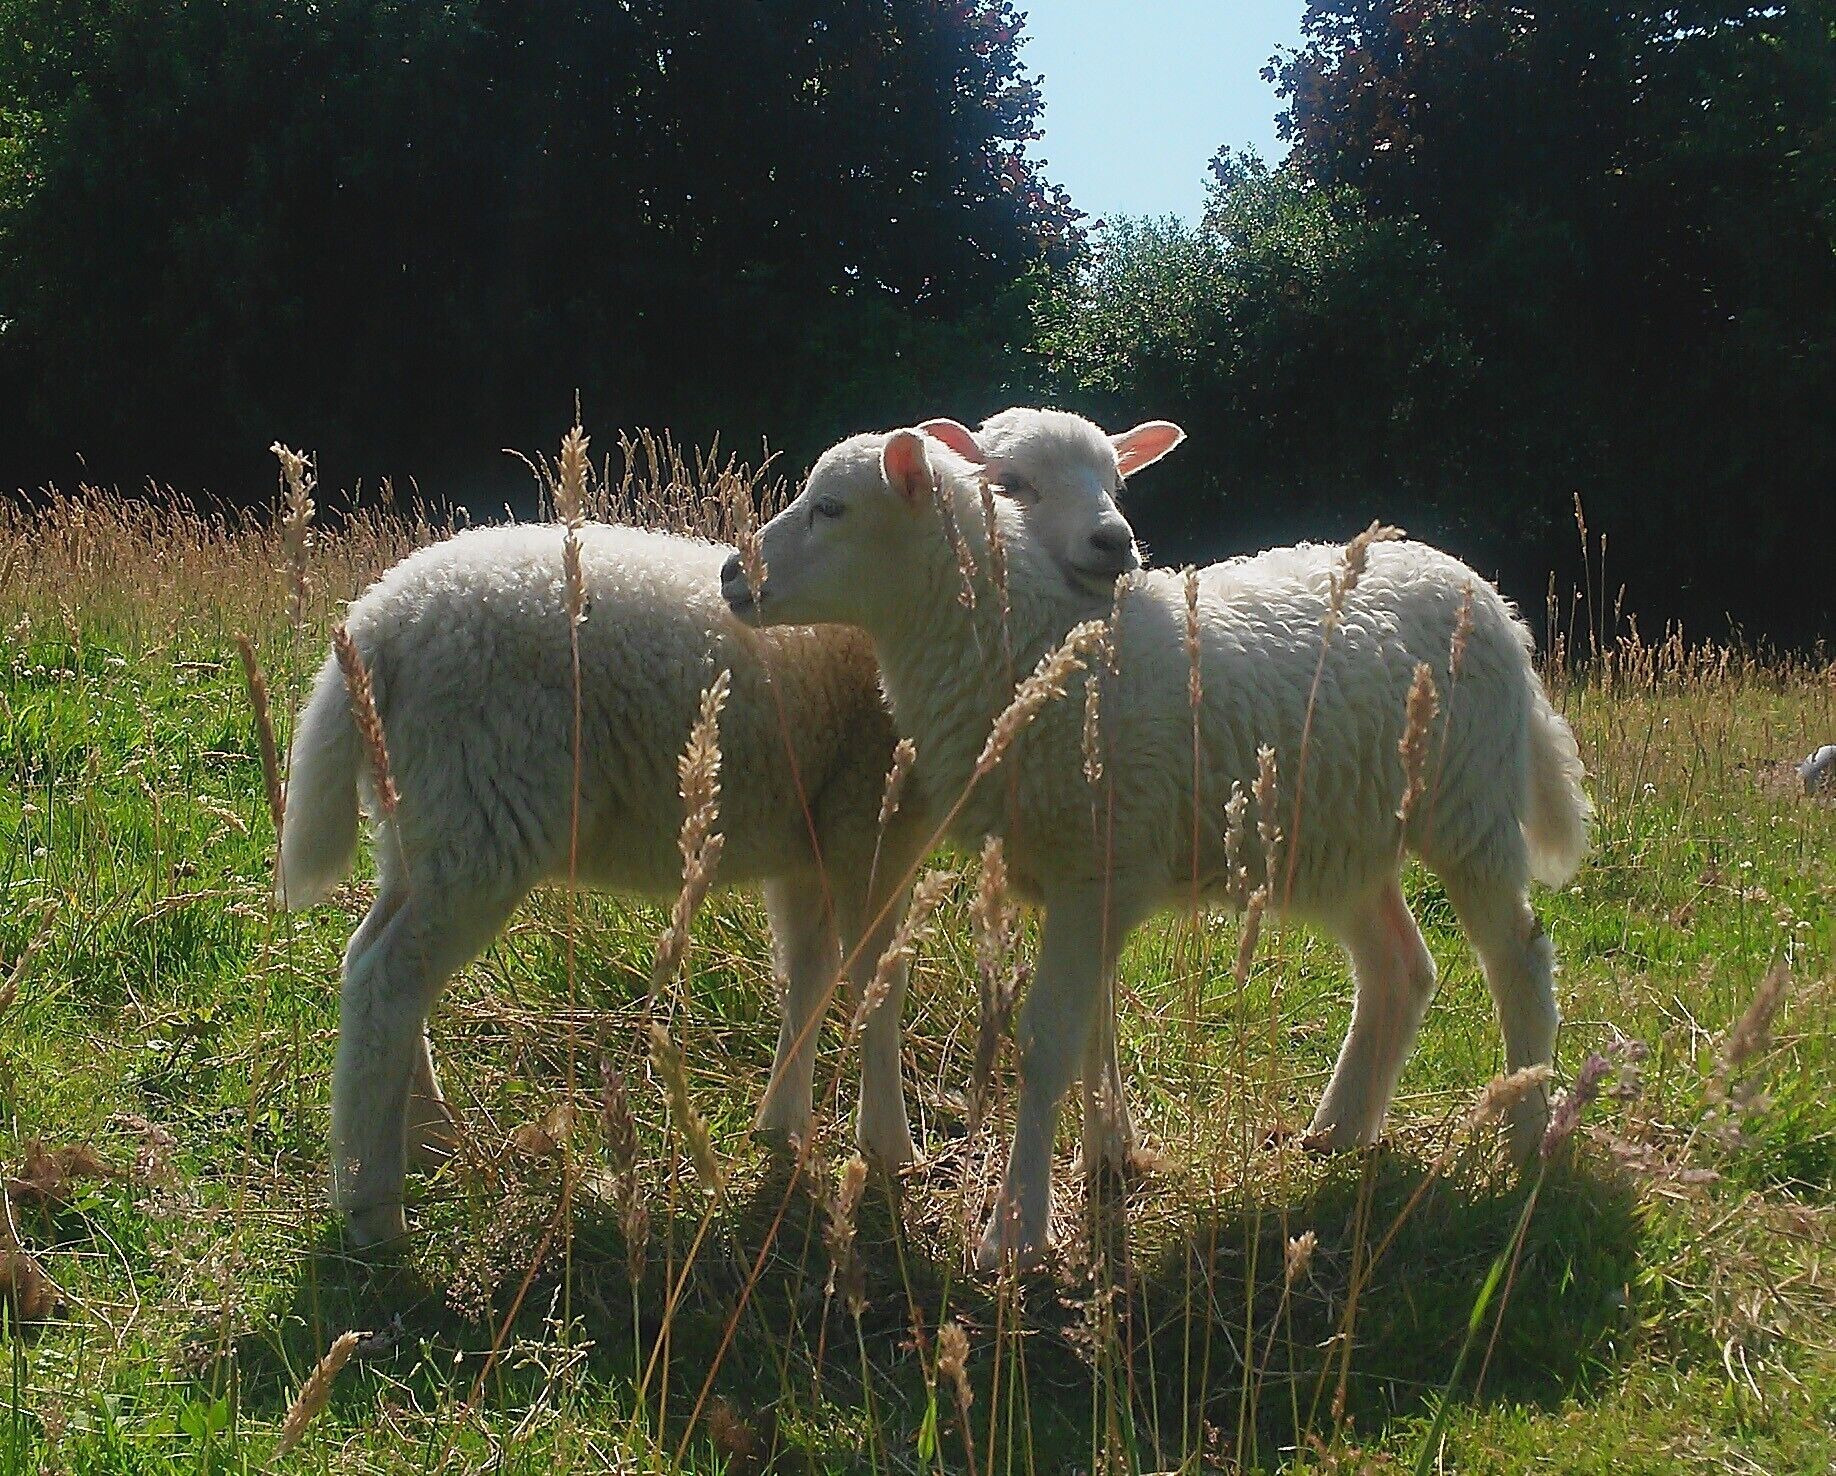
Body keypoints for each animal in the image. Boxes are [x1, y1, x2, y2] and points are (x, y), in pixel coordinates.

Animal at [279, 421, 1151, 1247]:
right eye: (1012, 484)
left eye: (1117, 479)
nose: (1116, 545)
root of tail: (378, 623)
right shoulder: (867, 824)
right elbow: (875, 978)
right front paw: (887, 1148)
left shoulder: (809, 836)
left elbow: (808, 971)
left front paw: (782, 1125)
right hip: (479, 808)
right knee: (389, 981)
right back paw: (373, 1206)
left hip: (423, 819)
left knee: (372, 957)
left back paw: (426, 1140)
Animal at [723, 426, 1591, 1268]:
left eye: (831, 507)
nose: (734, 573)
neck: (1029, 644)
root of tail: (1489, 596)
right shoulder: (1085, 871)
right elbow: (1089, 1027)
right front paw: (1106, 1155)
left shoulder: (1094, 864)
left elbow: (1044, 1041)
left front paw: (1016, 1232)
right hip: (1344, 832)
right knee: (1399, 968)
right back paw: (1338, 1131)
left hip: (1469, 804)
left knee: (1519, 957)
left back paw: (1525, 1137)